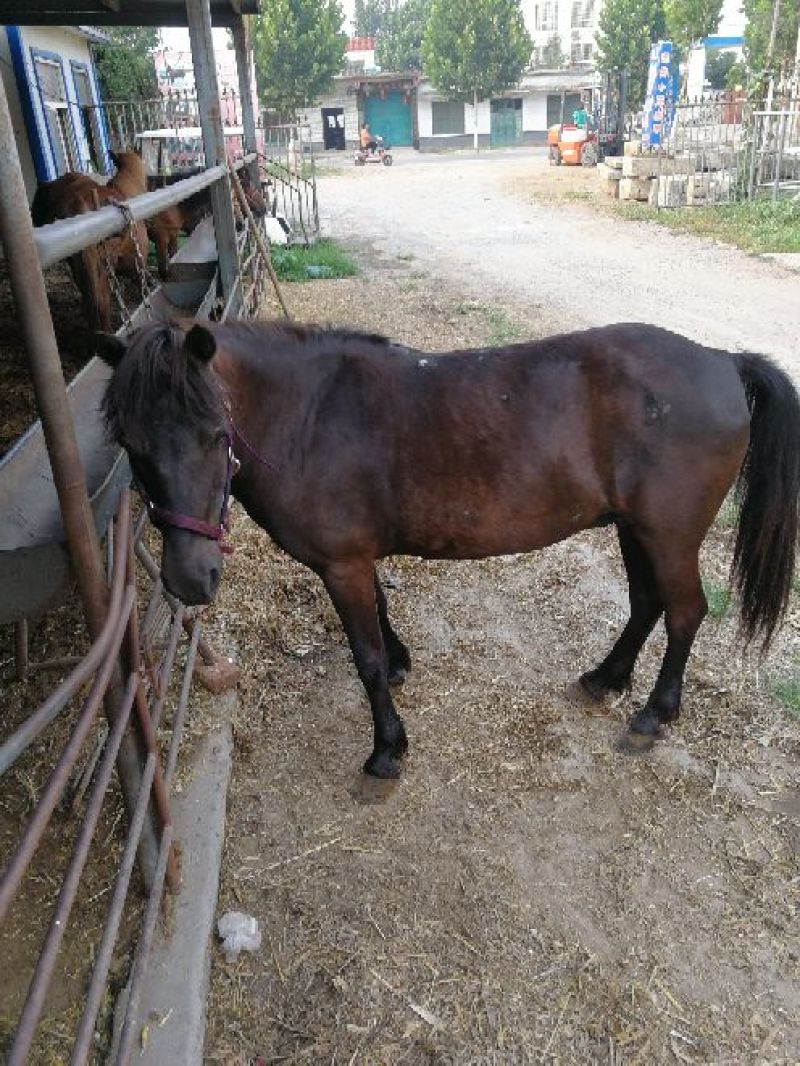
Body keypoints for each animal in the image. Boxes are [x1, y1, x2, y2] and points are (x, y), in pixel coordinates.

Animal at [94, 319, 800, 780]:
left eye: (217, 433)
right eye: (131, 444)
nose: (190, 579)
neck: (311, 414)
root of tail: (722, 360)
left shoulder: (341, 565)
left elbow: (366, 658)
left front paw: (387, 748)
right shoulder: (355, 561)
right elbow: (381, 624)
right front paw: (402, 669)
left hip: (668, 534)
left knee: (684, 612)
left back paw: (653, 715)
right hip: (635, 529)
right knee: (647, 603)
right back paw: (605, 679)